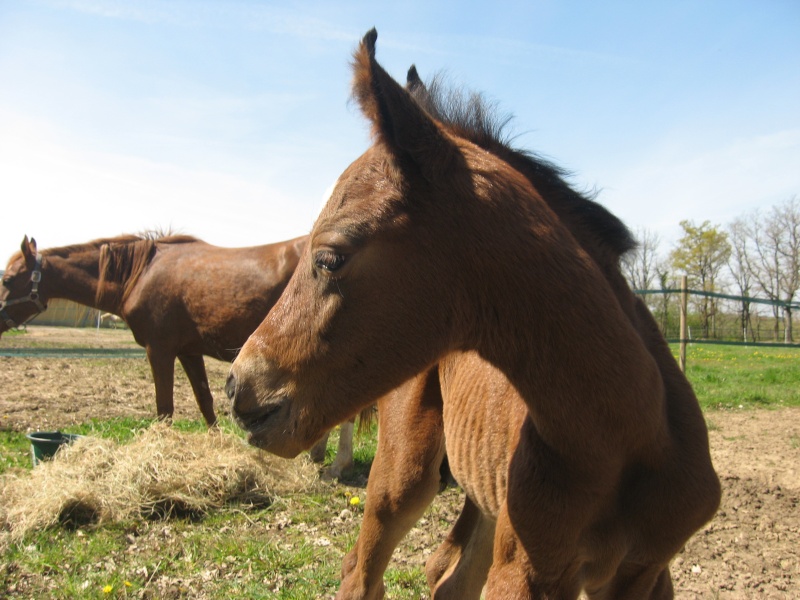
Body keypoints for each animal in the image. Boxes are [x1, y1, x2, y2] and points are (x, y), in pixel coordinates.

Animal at [228, 31, 720, 600]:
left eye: (331, 256)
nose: (238, 384)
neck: (618, 439)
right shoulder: (527, 569)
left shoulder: (646, 570)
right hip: (406, 472)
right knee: (363, 570)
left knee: (446, 577)